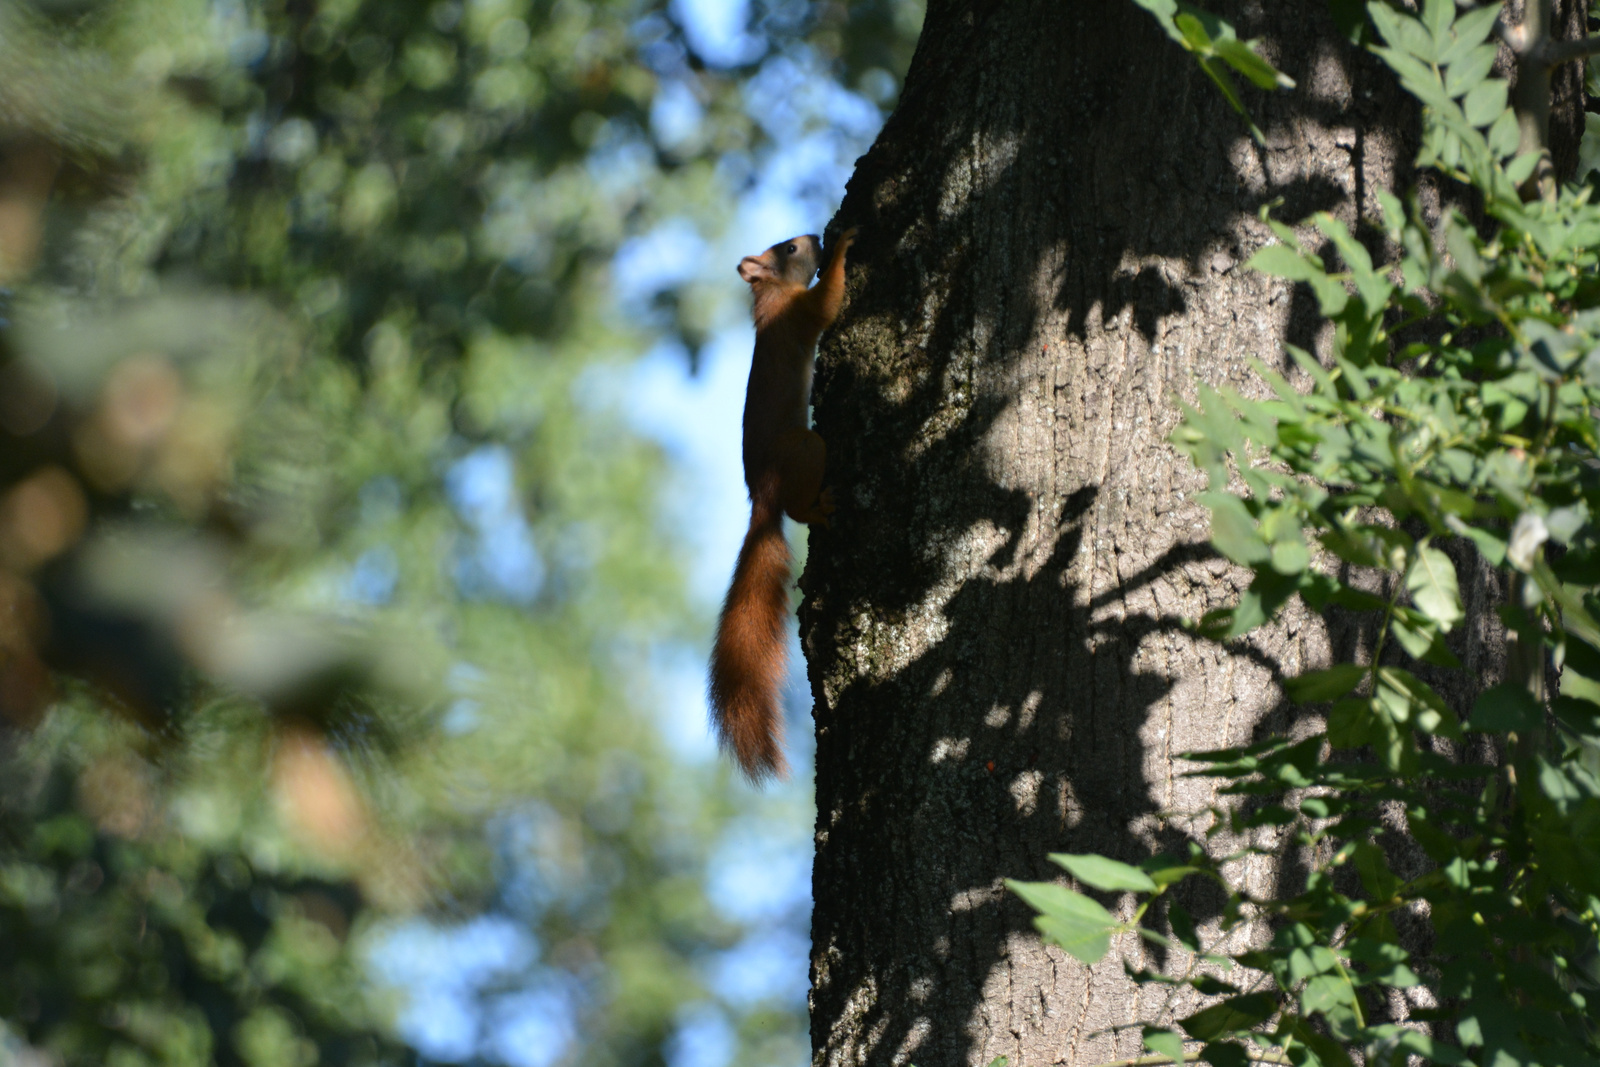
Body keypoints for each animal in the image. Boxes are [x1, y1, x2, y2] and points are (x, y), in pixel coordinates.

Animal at [713, 225, 857, 780]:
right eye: (791, 249)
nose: (817, 234)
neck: (771, 297)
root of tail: (763, 500)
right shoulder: (803, 314)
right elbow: (828, 302)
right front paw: (844, 247)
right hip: (807, 449)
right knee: (798, 506)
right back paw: (819, 508)